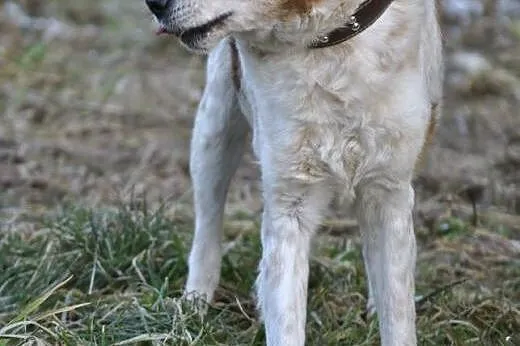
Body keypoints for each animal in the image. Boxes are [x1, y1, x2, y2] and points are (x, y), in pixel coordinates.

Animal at [146, 0, 442, 344]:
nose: (153, 4)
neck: (327, 40)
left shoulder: (388, 191)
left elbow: (397, 310)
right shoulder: (289, 203)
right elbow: (285, 313)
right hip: (215, 127)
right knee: (208, 221)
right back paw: (195, 304)